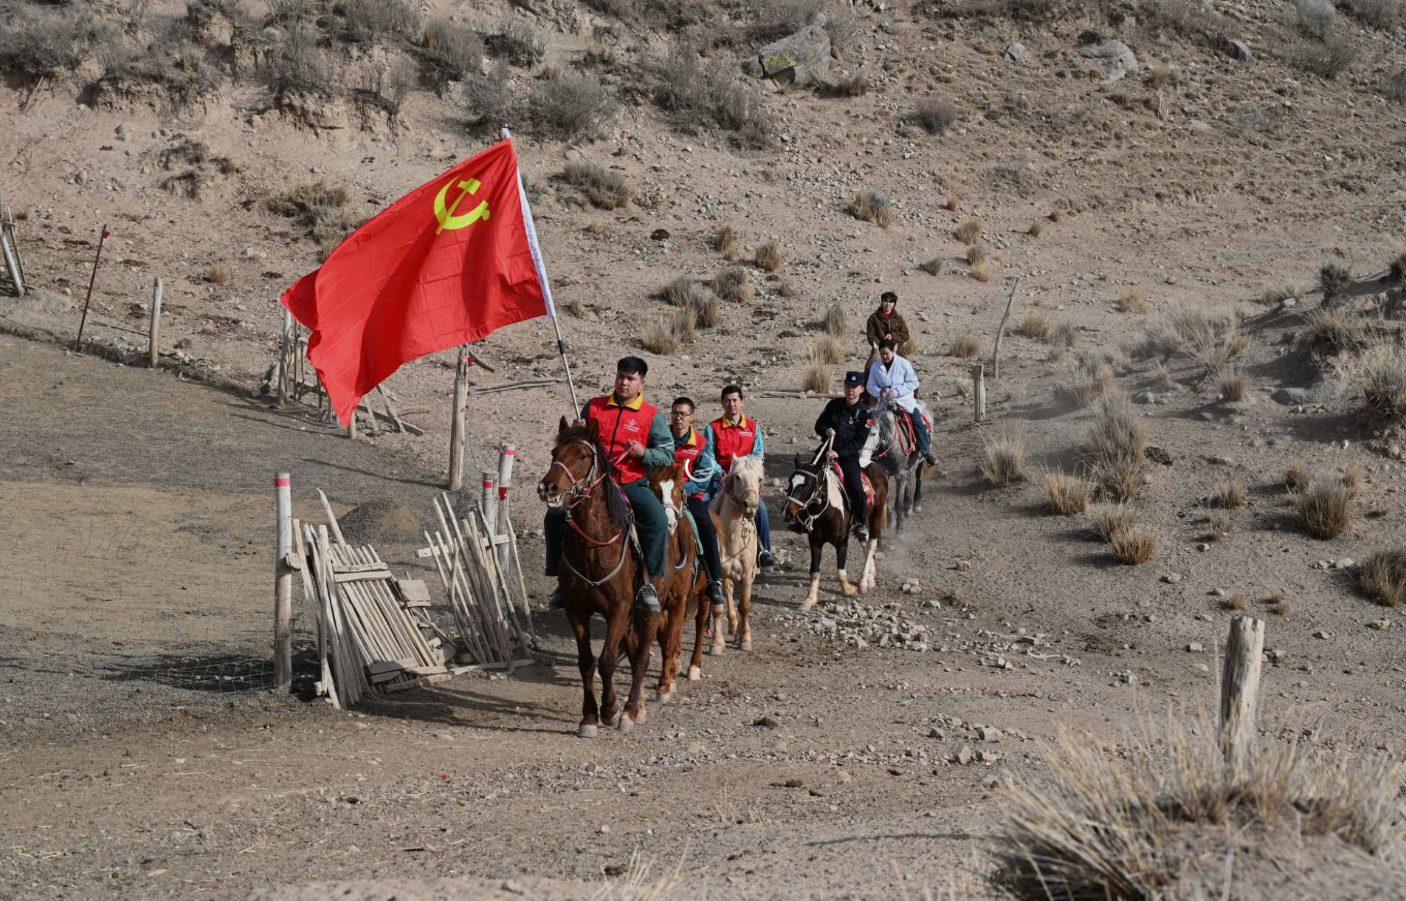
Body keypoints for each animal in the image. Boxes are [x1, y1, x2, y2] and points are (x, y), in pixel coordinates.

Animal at [536, 417, 659, 737]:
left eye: (582, 455)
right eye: (554, 452)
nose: (547, 486)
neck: (594, 545)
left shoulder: (618, 608)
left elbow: (606, 661)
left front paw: (610, 709)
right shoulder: (576, 610)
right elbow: (586, 662)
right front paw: (589, 717)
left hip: (650, 609)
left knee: (641, 656)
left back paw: (630, 712)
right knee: (632, 650)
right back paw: (637, 707)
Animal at [647, 463, 710, 704]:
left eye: (679, 490)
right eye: (653, 488)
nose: (668, 521)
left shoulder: (679, 599)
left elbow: (669, 640)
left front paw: (665, 686)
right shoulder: (661, 601)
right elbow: (665, 636)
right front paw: (671, 674)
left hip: (705, 593)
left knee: (701, 623)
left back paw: (694, 666)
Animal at [707, 456, 763, 656]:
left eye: (760, 478)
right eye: (737, 477)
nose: (750, 505)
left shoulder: (746, 574)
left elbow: (744, 605)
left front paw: (745, 638)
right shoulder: (715, 574)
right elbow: (717, 608)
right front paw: (717, 644)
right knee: (729, 592)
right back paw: (732, 625)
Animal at [782, 452, 889, 611]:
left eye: (808, 485)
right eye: (790, 482)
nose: (787, 513)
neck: (826, 511)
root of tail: (876, 466)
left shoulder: (842, 541)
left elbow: (840, 572)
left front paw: (849, 590)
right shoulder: (815, 542)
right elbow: (814, 571)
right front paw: (809, 599)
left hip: (876, 514)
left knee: (871, 545)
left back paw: (863, 582)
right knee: (864, 541)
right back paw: (871, 576)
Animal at [868, 401, 928, 535]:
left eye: (874, 433)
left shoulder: (899, 474)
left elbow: (898, 504)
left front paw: (899, 530)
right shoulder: (885, 473)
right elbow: (885, 499)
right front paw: (891, 520)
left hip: (920, 460)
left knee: (918, 476)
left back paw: (916, 503)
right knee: (909, 478)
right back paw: (908, 508)